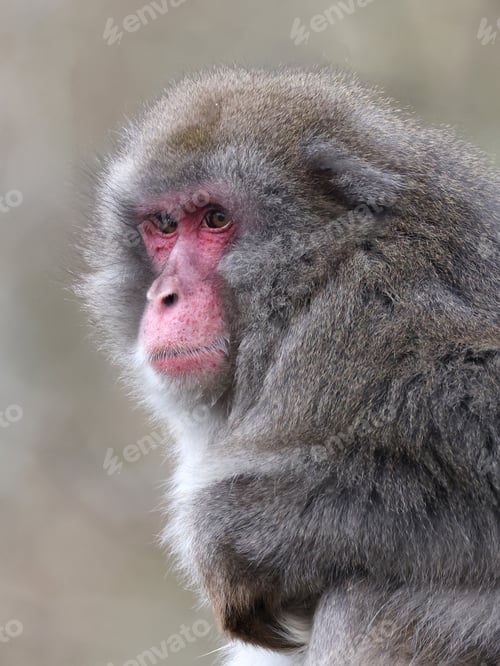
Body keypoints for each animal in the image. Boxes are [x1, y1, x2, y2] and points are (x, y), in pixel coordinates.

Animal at [79, 67, 500, 665]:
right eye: (163, 225)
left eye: (216, 219)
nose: (164, 297)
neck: (317, 280)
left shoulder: (374, 313)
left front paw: (231, 530)